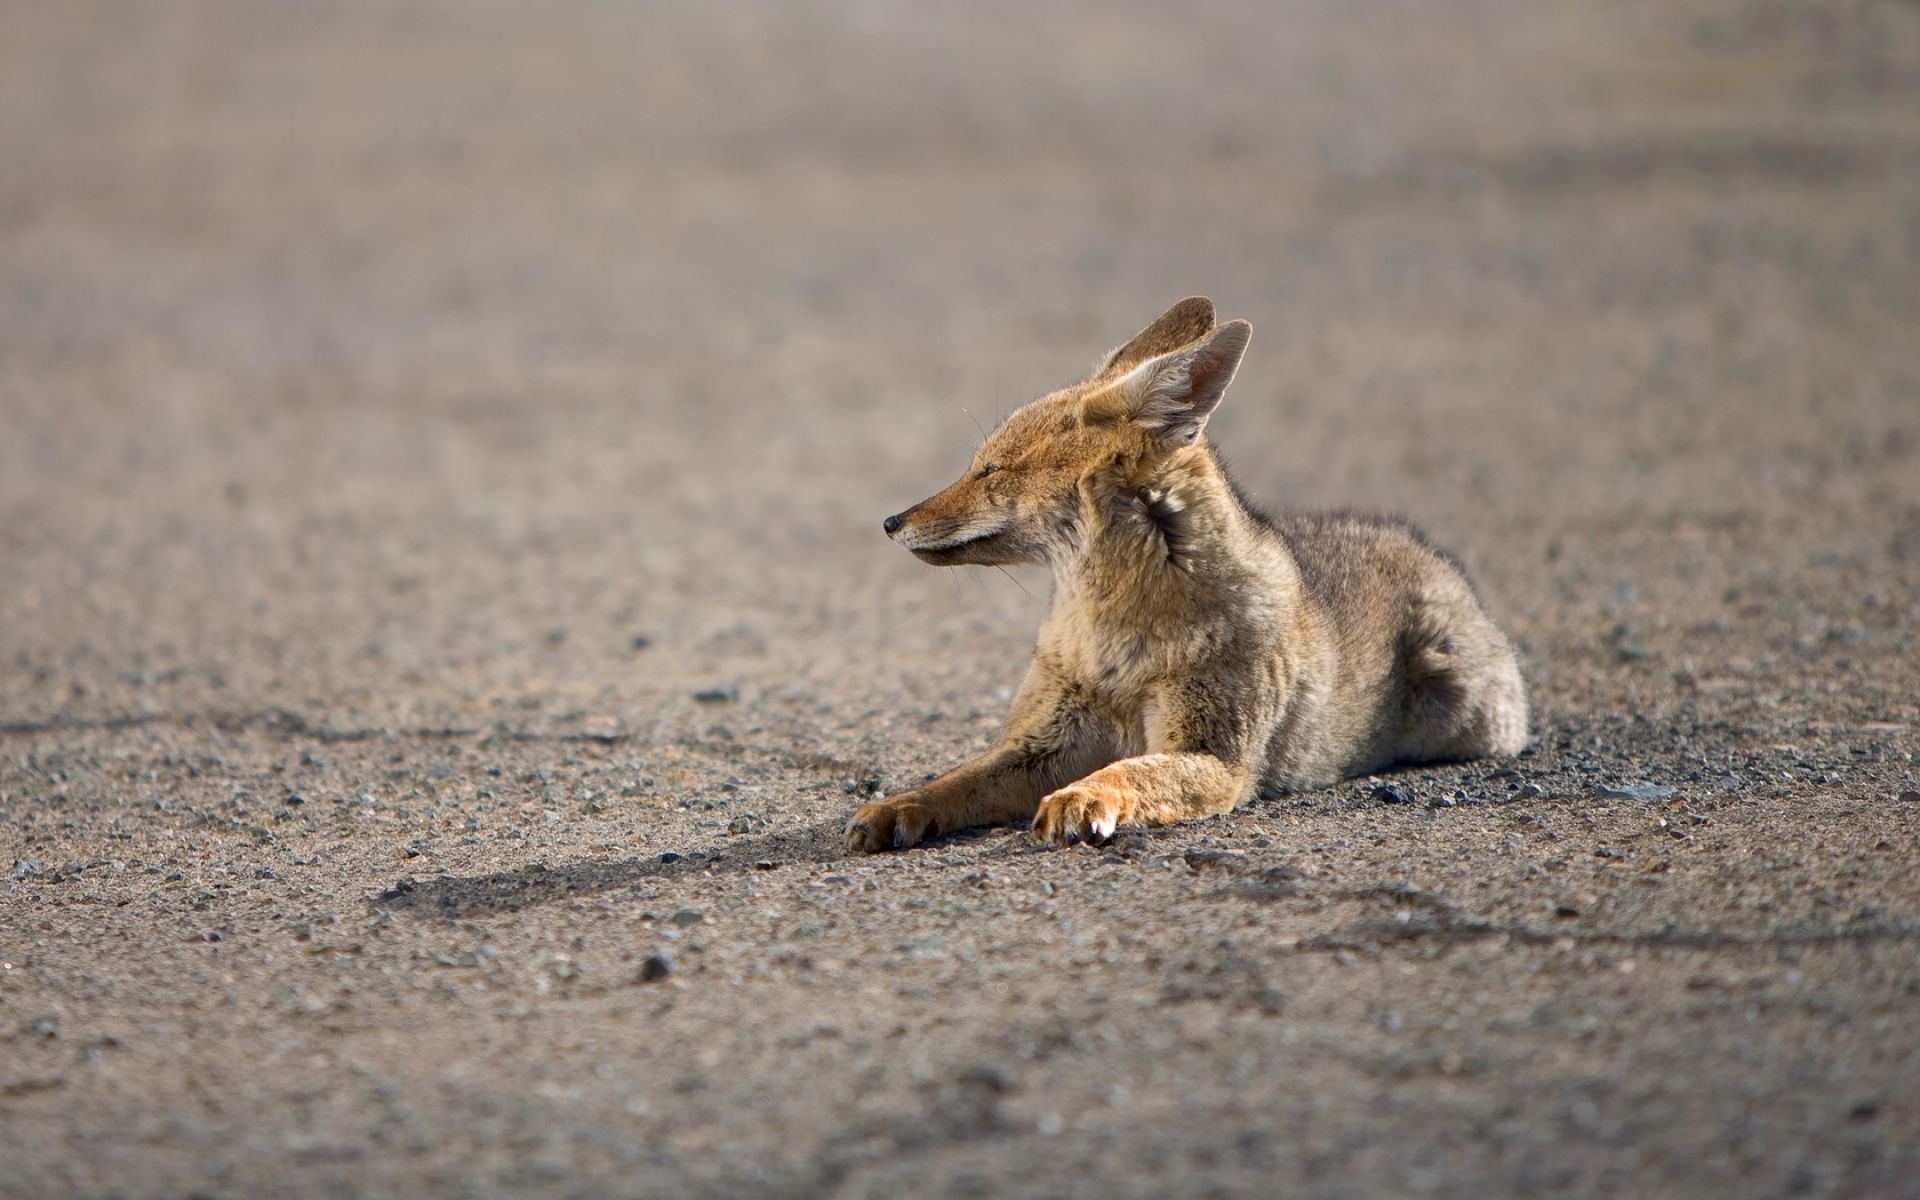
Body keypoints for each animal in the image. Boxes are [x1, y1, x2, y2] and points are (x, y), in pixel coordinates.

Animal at [846, 297, 1529, 853]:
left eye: (990, 470)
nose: (890, 521)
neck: (1114, 642)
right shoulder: (1041, 741)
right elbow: (955, 780)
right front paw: (898, 806)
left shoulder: (1216, 758)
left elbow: (1127, 770)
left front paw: (1084, 797)